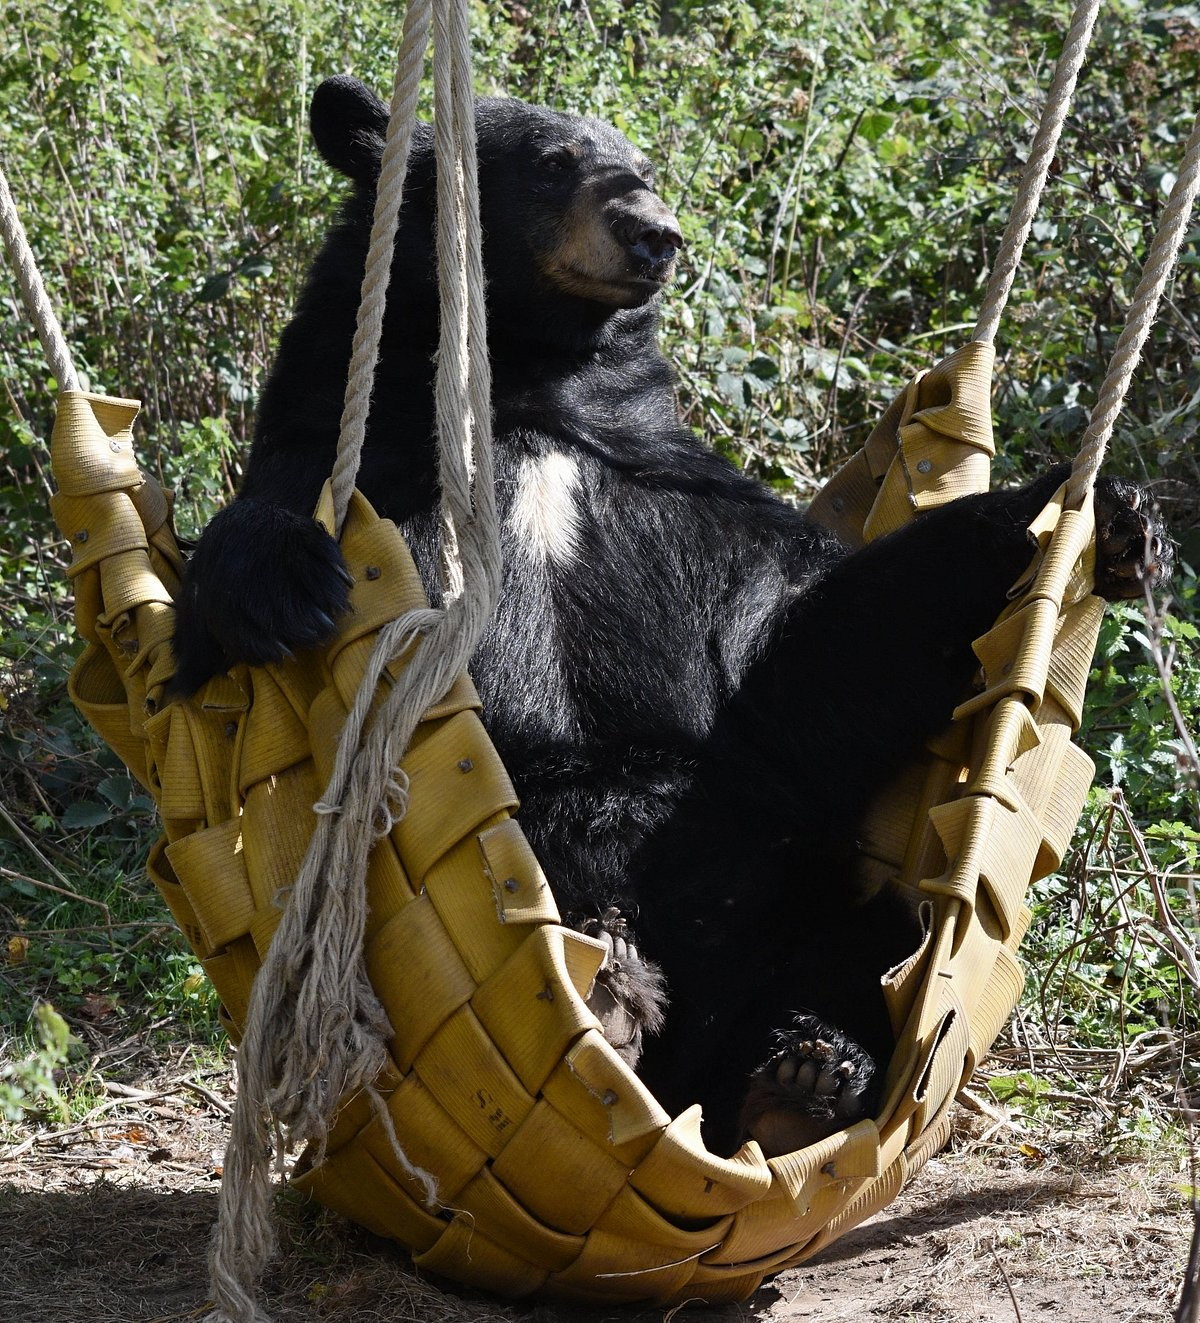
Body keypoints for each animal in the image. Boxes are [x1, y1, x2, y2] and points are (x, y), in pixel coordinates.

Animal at [173, 80, 1169, 1158]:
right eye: (556, 163)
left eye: (643, 167)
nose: (656, 234)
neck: (529, 379)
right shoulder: (366, 441)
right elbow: (253, 540)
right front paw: (290, 583)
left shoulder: (674, 488)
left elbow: (818, 641)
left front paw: (1103, 515)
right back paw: (625, 1005)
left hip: (795, 907)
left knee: (881, 941)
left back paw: (801, 1078)